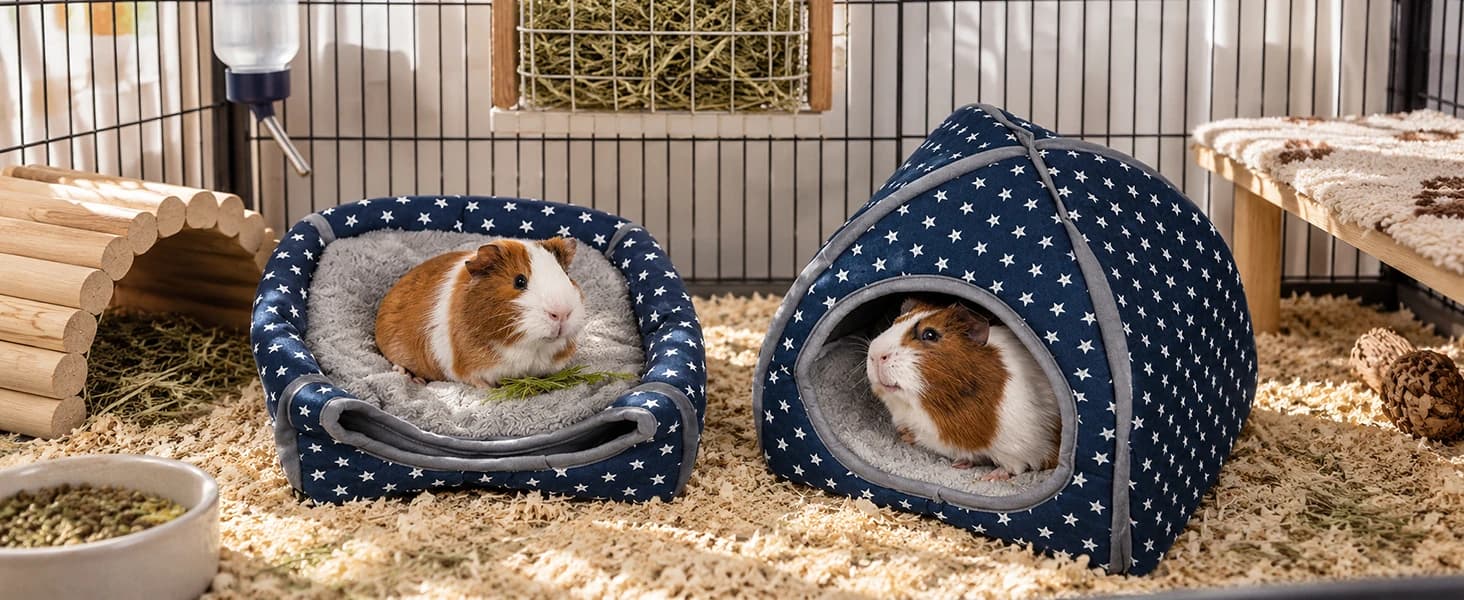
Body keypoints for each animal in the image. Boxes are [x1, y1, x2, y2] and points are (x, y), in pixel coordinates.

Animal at [865, 297, 1060, 481]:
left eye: (930, 334)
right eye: (895, 322)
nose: (875, 354)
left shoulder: (1020, 448)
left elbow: (1014, 467)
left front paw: (989, 477)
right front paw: (960, 463)